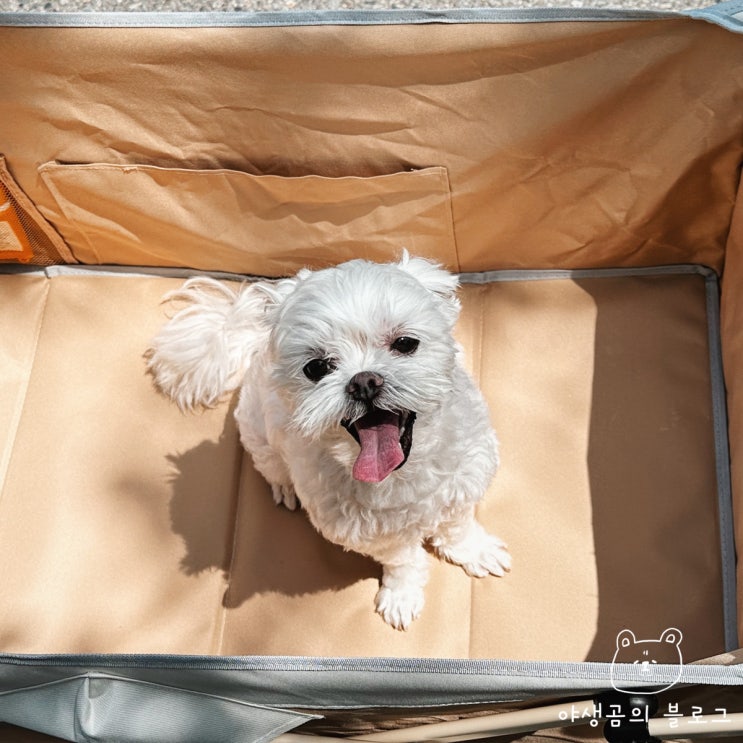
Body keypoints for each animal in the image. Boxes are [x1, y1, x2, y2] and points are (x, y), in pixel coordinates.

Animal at [150, 254, 512, 628]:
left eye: (405, 343)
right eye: (316, 367)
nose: (364, 381)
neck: (403, 474)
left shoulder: (461, 487)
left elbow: (458, 527)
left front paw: (474, 550)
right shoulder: (374, 534)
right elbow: (403, 560)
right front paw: (402, 594)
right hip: (257, 434)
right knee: (272, 467)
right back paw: (285, 487)